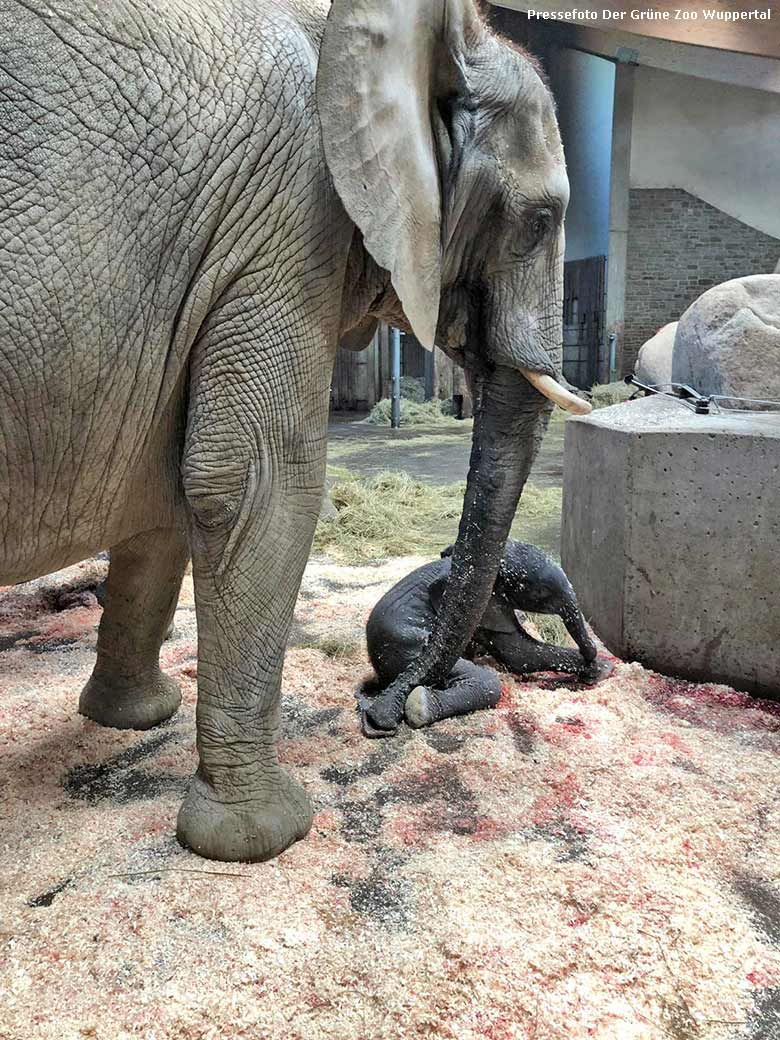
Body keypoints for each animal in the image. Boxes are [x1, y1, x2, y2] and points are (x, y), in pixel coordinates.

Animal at [0, 0, 586, 861]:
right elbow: (259, 482)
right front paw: (262, 837)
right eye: (541, 220)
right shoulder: (287, 221)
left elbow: (168, 493)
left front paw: (134, 722)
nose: (383, 717)